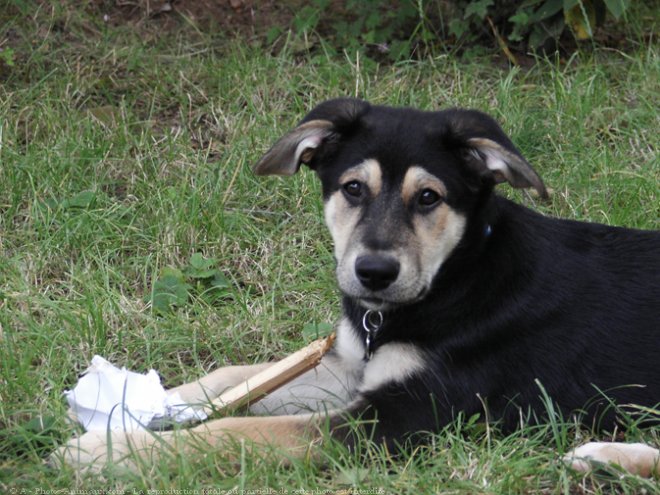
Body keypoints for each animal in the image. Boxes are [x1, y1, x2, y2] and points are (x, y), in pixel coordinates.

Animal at [58, 98, 660, 476]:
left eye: (429, 197)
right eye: (352, 188)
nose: (373, 272)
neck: (457, 277)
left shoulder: (396, 419)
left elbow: (239, 432)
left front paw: (106, 451)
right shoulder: (349, 367)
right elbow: (234, 377)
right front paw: (139, 403)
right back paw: (602, 458)